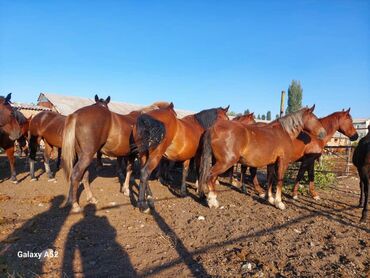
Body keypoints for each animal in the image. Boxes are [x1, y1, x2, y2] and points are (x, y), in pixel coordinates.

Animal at [198, 105, 326, 210]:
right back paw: (212, 202)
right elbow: (279, 180)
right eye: (315, 118)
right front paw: (279, 202)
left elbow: (270, 179)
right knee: (210, 176)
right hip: (225, 162)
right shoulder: (283, 161)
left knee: (212, 178)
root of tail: (213, 128)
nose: (323, 133)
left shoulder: (271, 163)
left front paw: (270, 198)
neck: (284, 133)